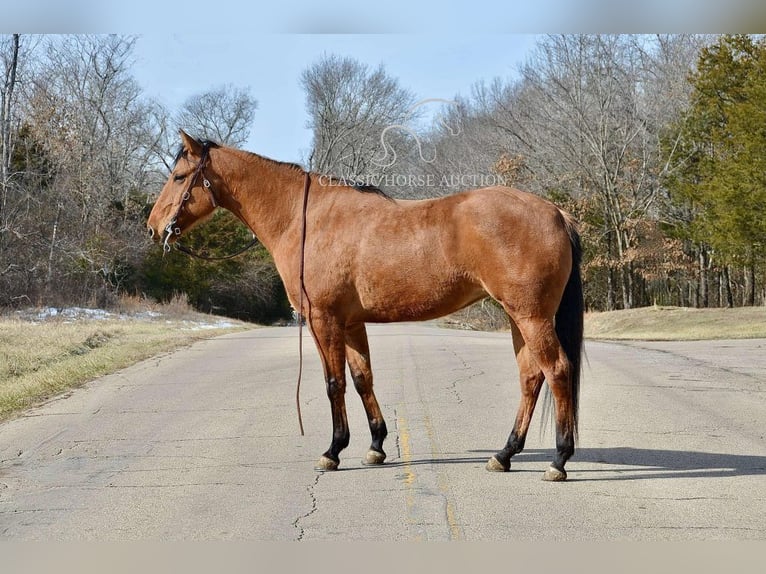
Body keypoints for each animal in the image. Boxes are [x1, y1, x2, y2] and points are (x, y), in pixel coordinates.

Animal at [147, 130, 584, 482]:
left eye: (179, 177)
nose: (153, 227)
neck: (306, 220)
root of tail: (557, 213)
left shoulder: (323, 320)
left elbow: (334, 383)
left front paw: (333, 451)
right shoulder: (351, 323)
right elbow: (362, 380)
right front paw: (375, 446)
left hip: (531, 317)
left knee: (557, 371)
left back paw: (558, 461)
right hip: (517, 317)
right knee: (531, 377)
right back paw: (504, 454)